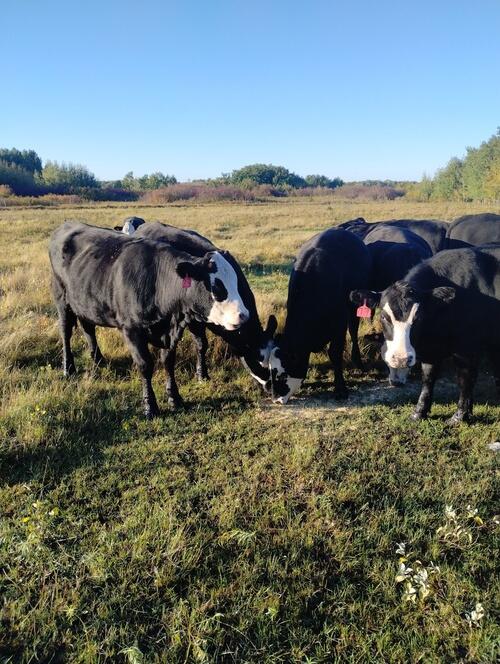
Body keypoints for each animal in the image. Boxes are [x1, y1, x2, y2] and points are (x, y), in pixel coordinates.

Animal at [49, 221, 251, 418]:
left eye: (237, 283)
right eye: (217, 287)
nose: (244, 315)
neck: (157, 281)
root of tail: (66, 225)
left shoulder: (171, 331)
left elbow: (168, 361)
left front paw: (175, 398)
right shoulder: (131, 330)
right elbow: (145, 365)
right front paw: (150, 406)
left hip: (86, 303)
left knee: (88, 329)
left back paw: (98, 360)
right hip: (61, 299)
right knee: (66, 333)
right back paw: (68, 368)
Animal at [133, 221, 277, 401]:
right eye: (259, 360)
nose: (272, 387)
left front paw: (203, 374)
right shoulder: (193, 320)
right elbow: (201, 344)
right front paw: (201, 374)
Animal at [268, 228, 371, 404]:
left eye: (282, 374)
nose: (276, 399)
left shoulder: (339, 322)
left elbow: (335, 353)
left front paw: (340, 388)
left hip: (355, 307)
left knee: (354, 330)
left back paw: (358, 362)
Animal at [351, 244, 500, 423]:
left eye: (418, 317)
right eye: (384, 316)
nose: (401, 359)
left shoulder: (467, 347)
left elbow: (465, 379)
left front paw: (459, 416)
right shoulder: (432, 351)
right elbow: (428, 378)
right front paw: (419, 412)